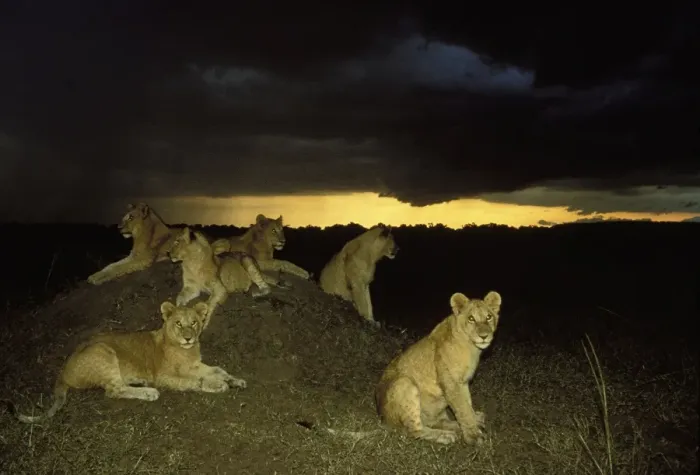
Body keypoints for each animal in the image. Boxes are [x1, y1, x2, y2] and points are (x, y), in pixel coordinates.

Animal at [8, 301, 247, 424]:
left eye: (194, 322)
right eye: (178, 323)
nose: (188, 338)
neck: (185, 350)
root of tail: (62, 371)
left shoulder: (195, 365)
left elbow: (218, 369)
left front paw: (235, 380)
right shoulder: (163, 377)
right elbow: (195, 382)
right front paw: (217, 386)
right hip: (103, 352)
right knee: (113, 391)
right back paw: (148, 392)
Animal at [374, 291, 502, 445]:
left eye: (488, 317)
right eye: (471, 318)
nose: (484, 336)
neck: (470, 347)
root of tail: (382, 418)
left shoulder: (463, 382)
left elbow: (467, 404)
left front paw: (474, 421)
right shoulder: (451, 383)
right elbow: (463, 409)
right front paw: (474, 436)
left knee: (435, 422)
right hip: (404, 382)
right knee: (414, 431)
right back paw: (445, 436)